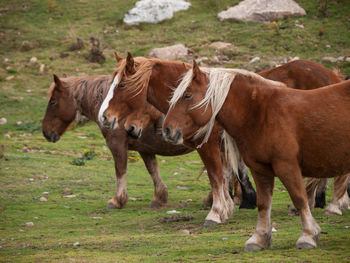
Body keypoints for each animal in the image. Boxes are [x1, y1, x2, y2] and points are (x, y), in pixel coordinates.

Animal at [98, 53, 258, 227]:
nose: (103, 116)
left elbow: (216, 175)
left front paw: (216, 212)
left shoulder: (208, 145)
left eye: (122, 85)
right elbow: (224, 175)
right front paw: (226, 208)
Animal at [163, 60, 350, 252]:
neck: (260, 114)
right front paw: (259, 239)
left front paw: (308, 236)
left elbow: (299, 199)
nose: (167, 129)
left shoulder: (287, 166)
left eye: (187, 95)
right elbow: (263, 204)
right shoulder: (259, 169)